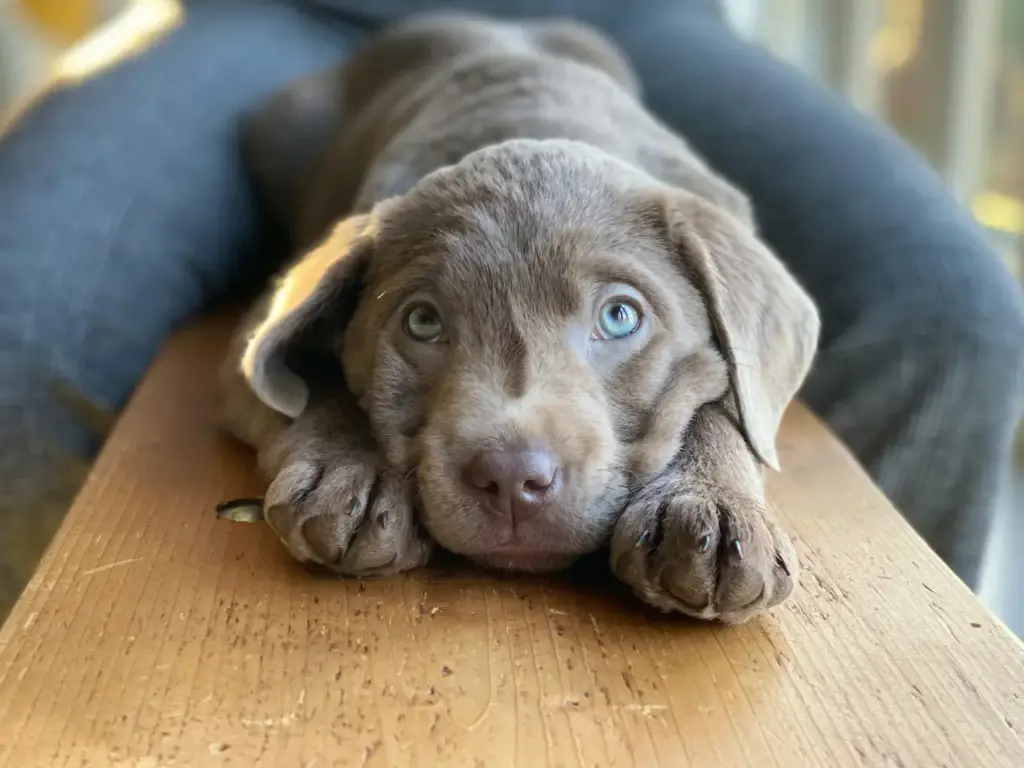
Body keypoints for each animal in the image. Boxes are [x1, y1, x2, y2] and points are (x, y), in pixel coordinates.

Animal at [220, 13, 819, 626]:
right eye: (423, 322)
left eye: (620, 316)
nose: (511, 478)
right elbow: (314, 379)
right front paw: (349, 474)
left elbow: (723, 403)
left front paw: (710, 502)